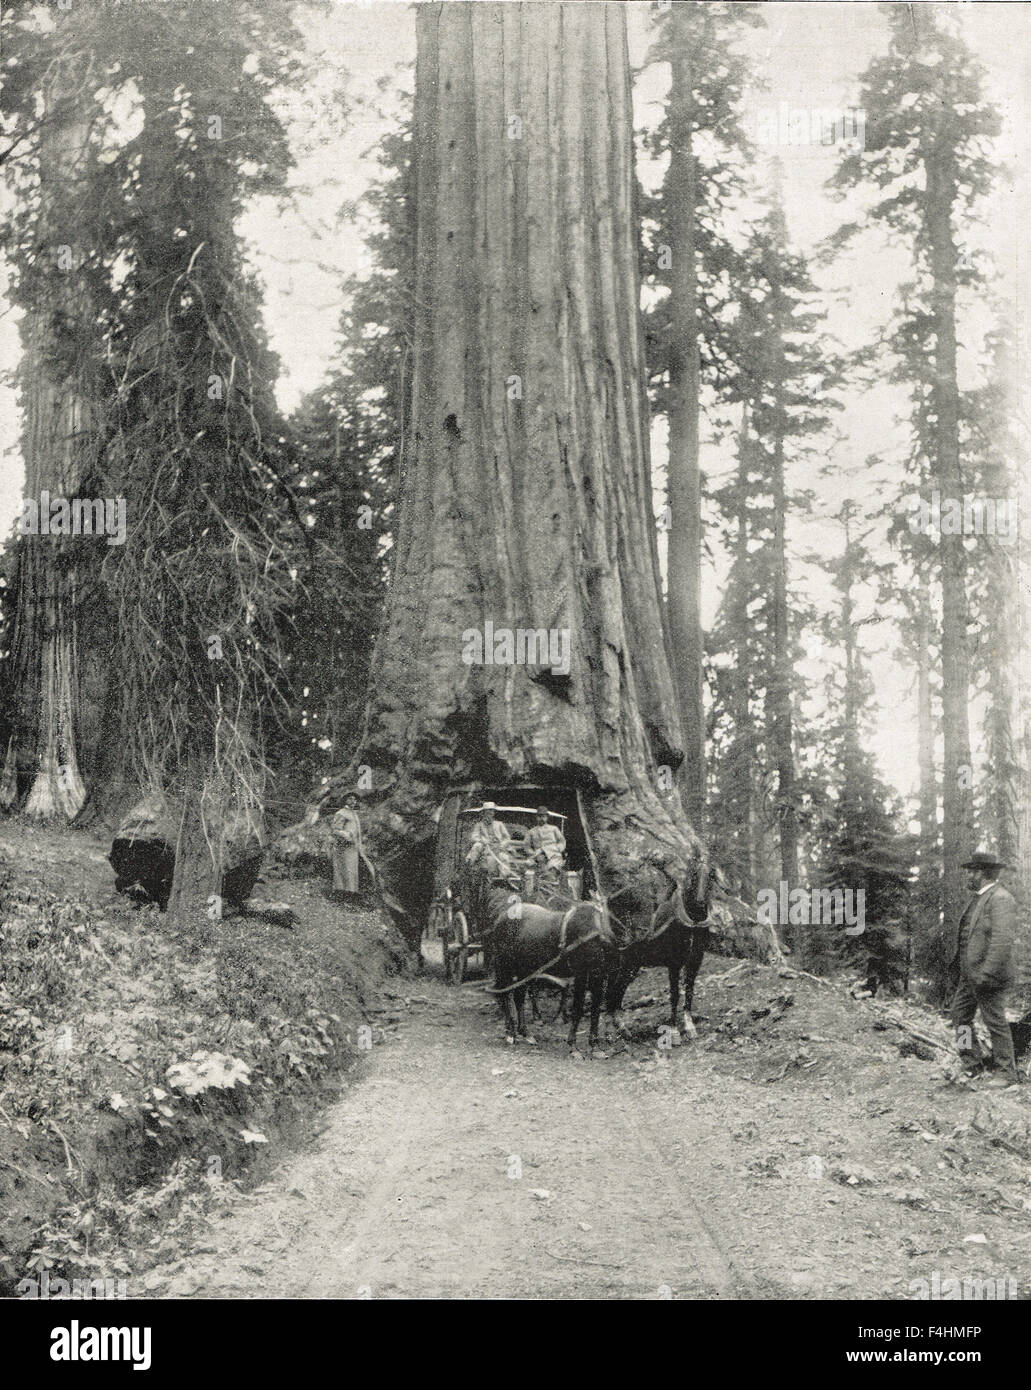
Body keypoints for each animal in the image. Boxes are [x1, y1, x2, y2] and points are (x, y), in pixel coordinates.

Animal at [608, 850, 716, 1045]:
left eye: (712, 875)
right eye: (694, 873)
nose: (700, 903)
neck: (691, 923)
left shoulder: (695, 960)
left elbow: (689, 991)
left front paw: (690, 1027)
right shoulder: (674, 963)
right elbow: (674, 994)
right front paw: (673, 1031)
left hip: (631, 965)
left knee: (616, 992)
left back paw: (622, 1030)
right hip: (623, 962)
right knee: (611, 991)